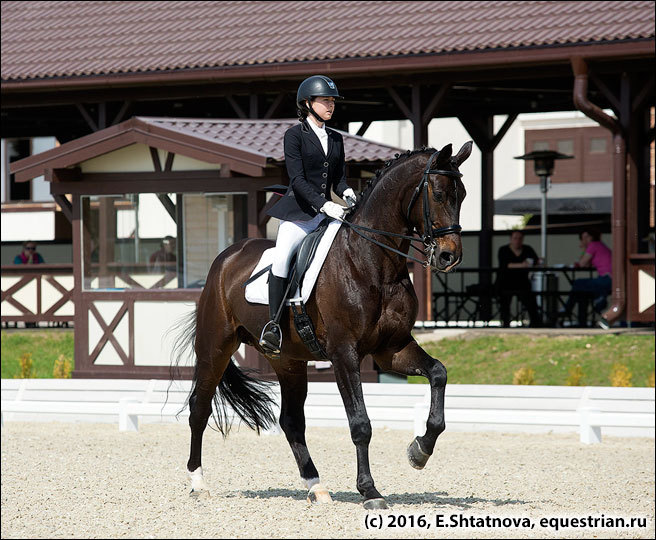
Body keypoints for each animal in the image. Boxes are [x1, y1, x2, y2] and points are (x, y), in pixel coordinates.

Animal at [174, 140, 472, 510]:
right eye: (439, 194)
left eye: (463, 195)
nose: (449, 257)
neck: (373, 261)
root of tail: (227, 256)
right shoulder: (344, 353)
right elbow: (360, 423)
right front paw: (370, 491)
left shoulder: (391, 348)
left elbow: (438, 373)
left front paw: (420, 450)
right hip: (215, 348)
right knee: (199, 408)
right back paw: (198, 483)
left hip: (287, 360)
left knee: (291, 422)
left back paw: (316, 486)